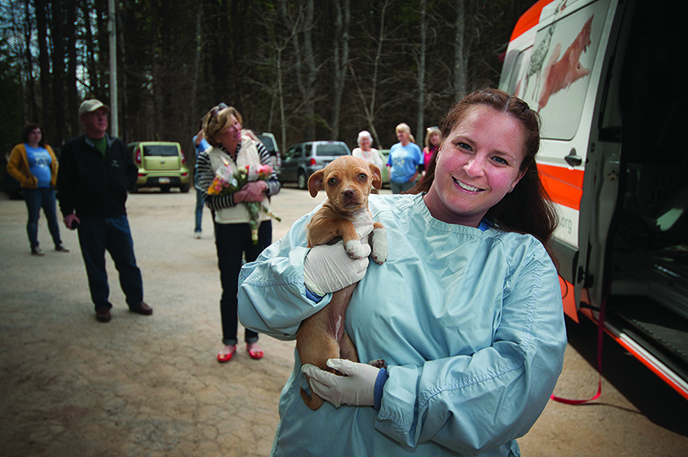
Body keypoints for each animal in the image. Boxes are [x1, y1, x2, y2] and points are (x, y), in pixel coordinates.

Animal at [298, 155, 390, 408]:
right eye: (332, 181)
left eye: (362, 176)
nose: (348, 192)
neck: (355, 214)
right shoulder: (317, 229)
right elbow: (342, 222)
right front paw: (354, 245)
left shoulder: (368, 222)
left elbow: (378, 224)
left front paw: (380, 248)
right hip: (327, 348)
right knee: (331, 375)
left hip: (349, 348)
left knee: (347, 369)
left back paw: (370, 369)